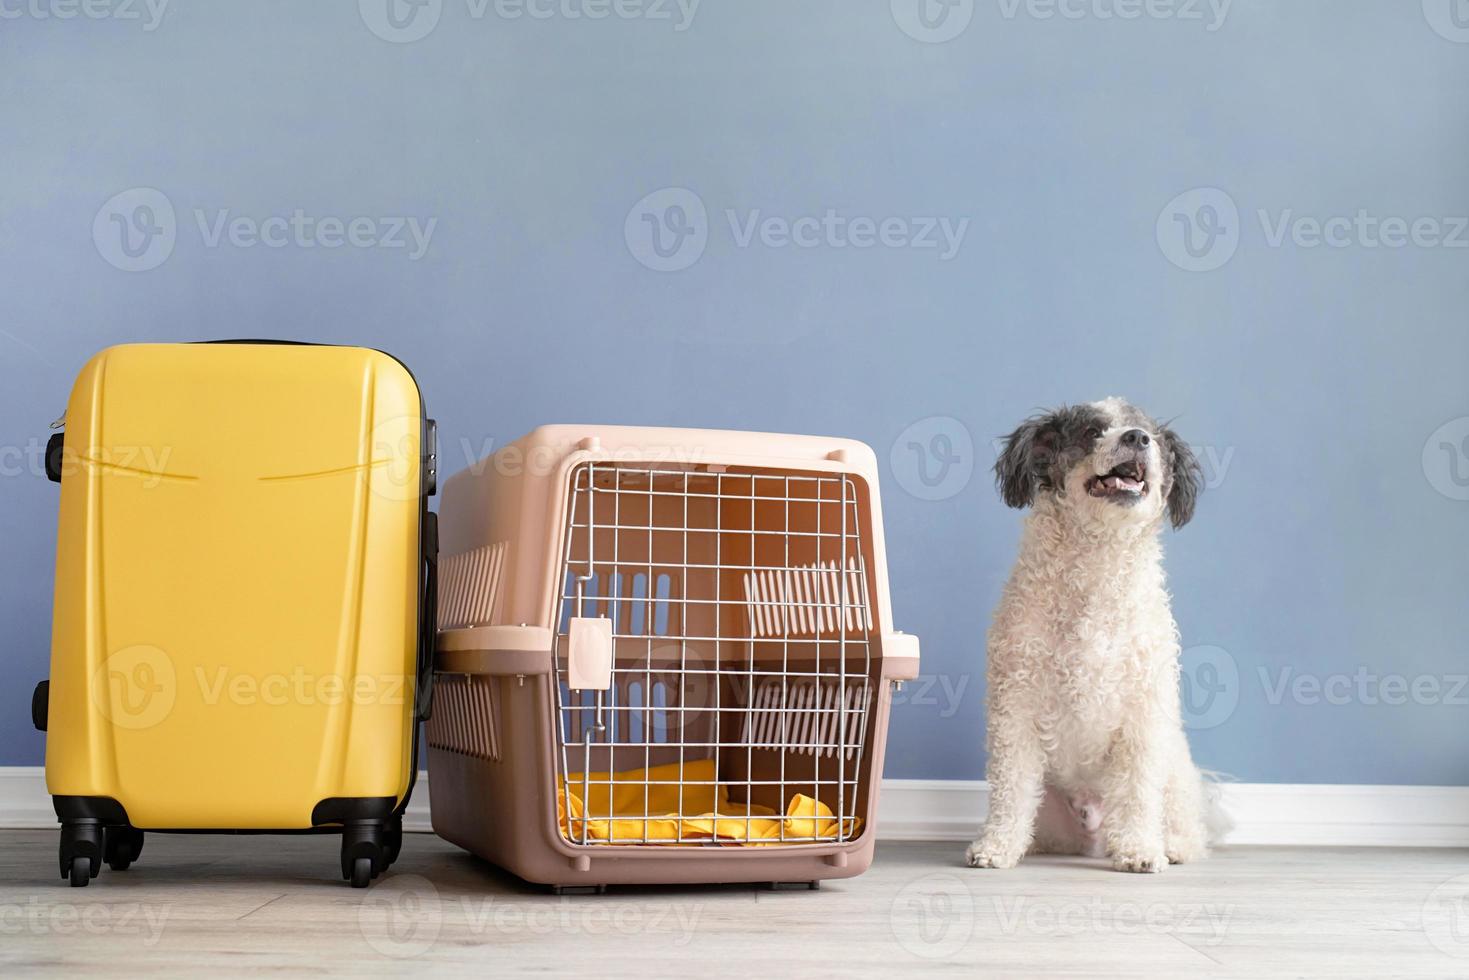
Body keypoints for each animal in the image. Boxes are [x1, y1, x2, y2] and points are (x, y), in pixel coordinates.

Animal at [969, 399, 1222, 875]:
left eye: (1151, 435)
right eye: (1091, 431)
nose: (1136, 439)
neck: (1097, 565)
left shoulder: (1143, 713)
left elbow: (1138, 791)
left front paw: (1140, 850)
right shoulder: (1016, 706)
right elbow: (1011, 790)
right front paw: (997, 845)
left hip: (1175, 774)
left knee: (1185, 826)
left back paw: (1172, 845)